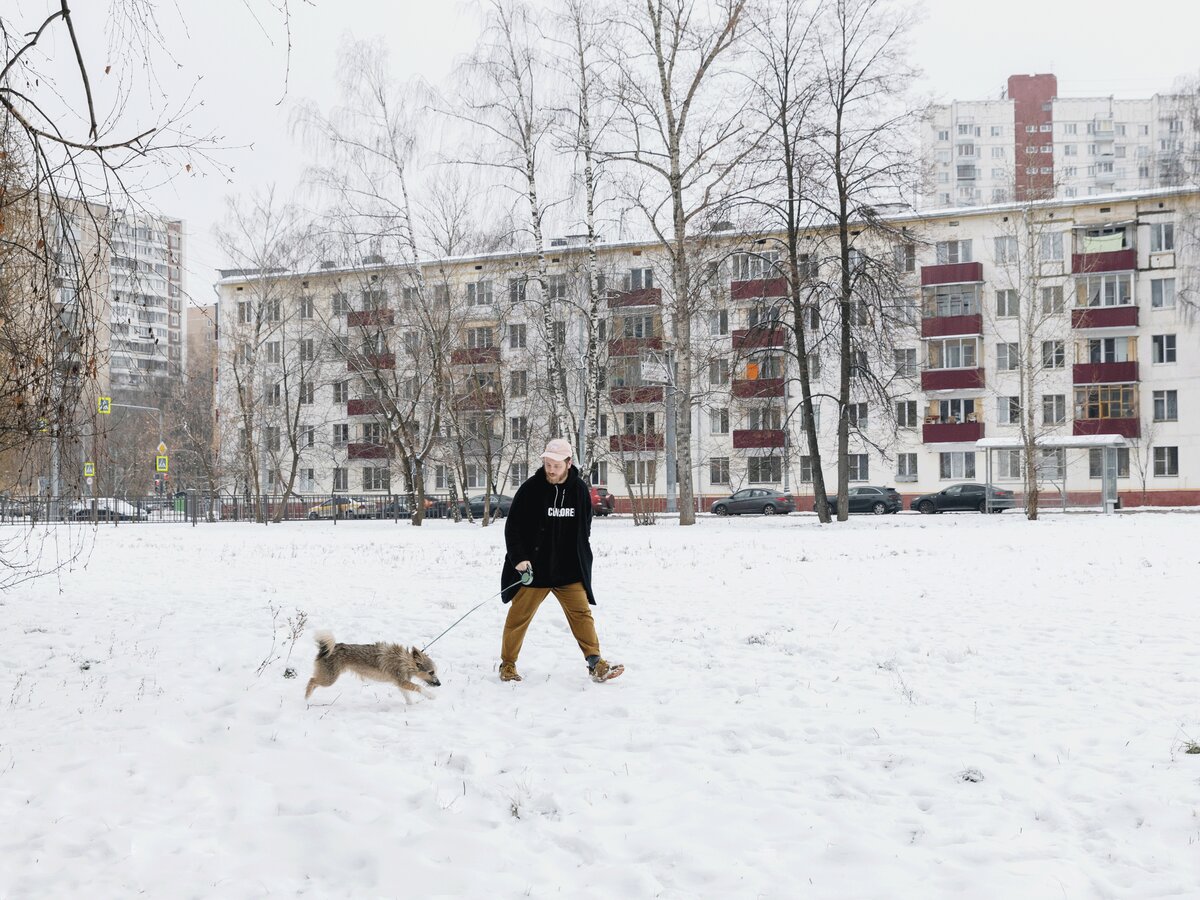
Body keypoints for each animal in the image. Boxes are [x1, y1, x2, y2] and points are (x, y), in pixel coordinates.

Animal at [304, 633, 441, 705]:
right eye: (431, 672)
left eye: (435, 672)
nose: (439, 684)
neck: (405, 661)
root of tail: (326, 649)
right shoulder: (402, 681)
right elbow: (419, 687)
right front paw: (431, 696)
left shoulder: (401, 683)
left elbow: (407, 696)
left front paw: (411, 706)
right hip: (329, 679)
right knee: (311, 680)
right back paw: (306, 699)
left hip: (326, 676)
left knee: (314, 682)